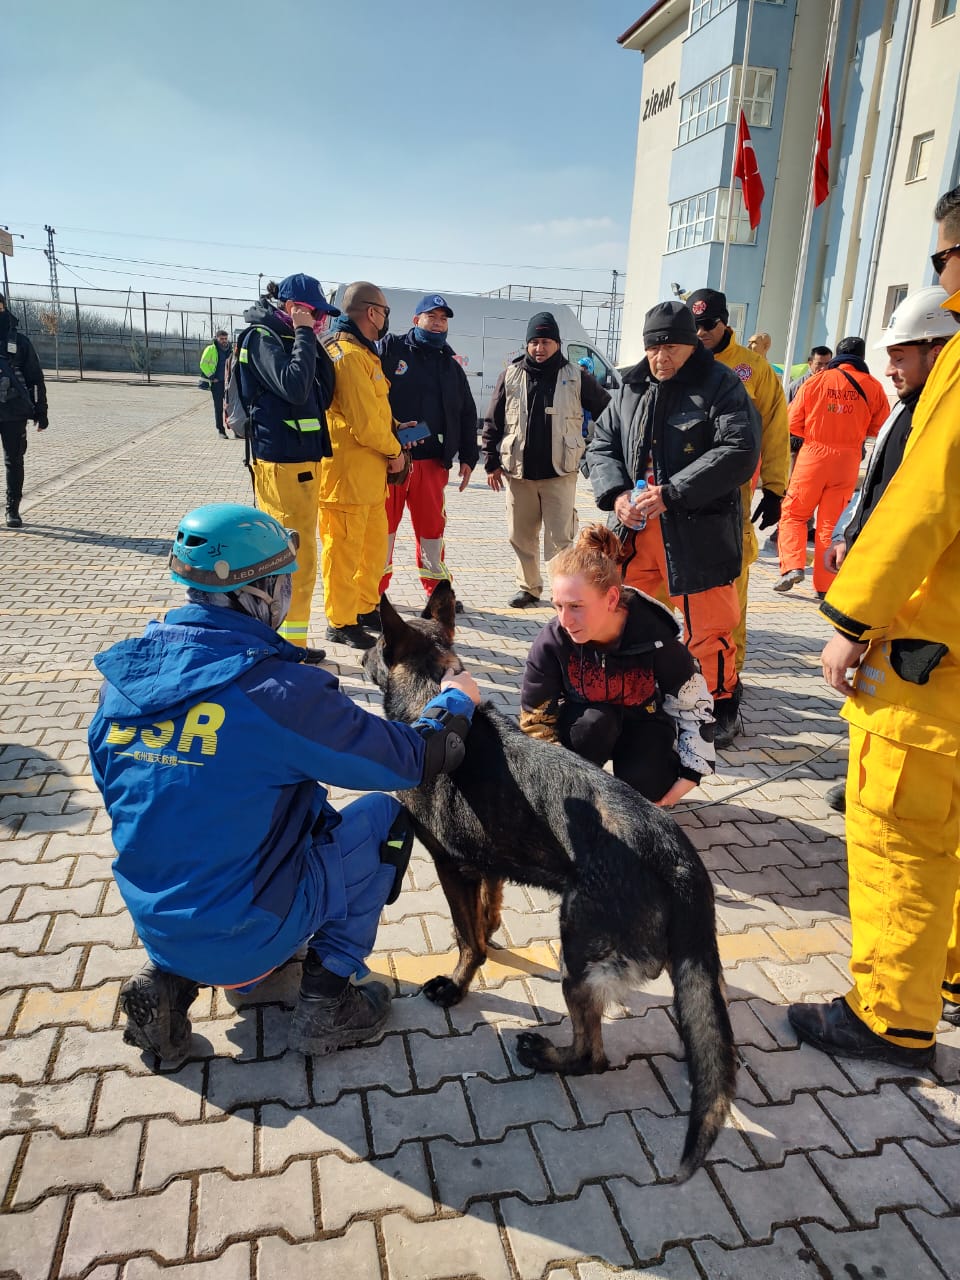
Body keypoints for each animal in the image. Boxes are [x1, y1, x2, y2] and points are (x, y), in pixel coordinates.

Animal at [363, 586, 742, 1182]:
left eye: (376, 643)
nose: (357, 654)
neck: (432, 695)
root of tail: (676, 856)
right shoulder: (487, 866)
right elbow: (486, 915)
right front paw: (490, 936)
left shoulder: (451, 865)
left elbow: (466, 935)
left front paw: (457, 982)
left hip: (577, 952)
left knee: (593, 1055)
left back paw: (547, 1056)